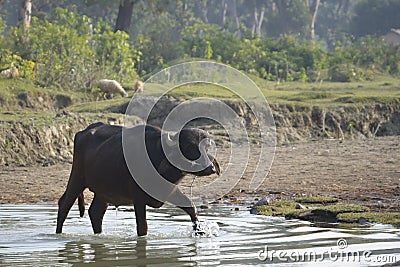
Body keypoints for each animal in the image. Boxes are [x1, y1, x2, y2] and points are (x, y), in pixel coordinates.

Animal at [55, 122, 220, 236]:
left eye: (206, 148)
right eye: (190, 147)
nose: (211, 168)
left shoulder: (169, 190)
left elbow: (191, 207)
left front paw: (200, 231)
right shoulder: (138, 199)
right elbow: (142, 227)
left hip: (103, 191)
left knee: (95, 212)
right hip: (77, 178)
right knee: (64, 205)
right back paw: (58, 234)